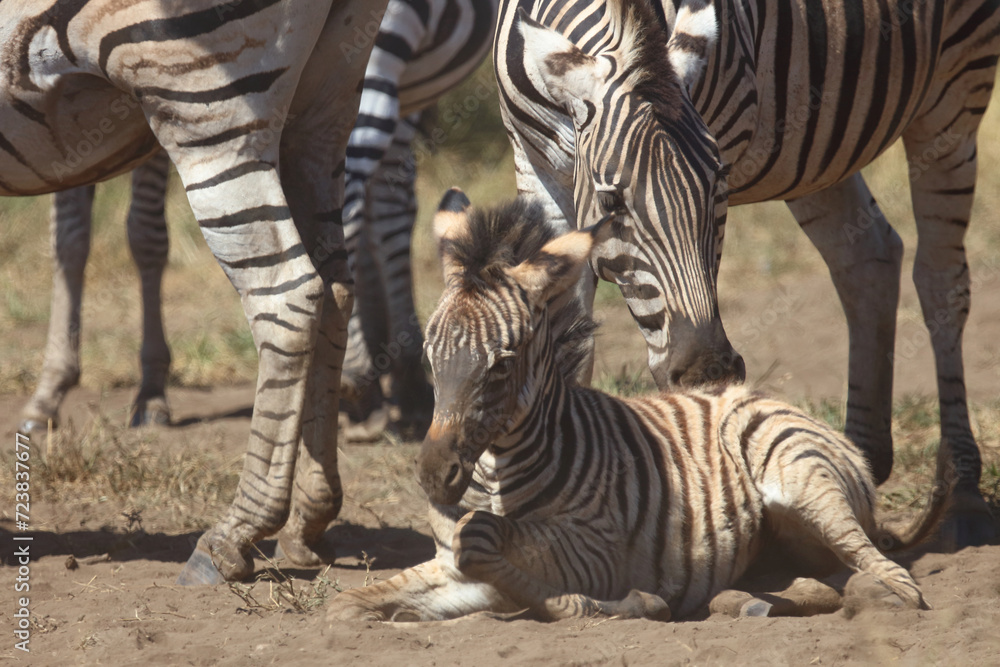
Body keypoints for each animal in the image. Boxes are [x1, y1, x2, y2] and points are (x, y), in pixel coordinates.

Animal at [1, 0, 388, 585]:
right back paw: (308, 521)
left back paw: (232, 537)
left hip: (201, 98)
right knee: (335, 291)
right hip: (324, 103)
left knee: (287, 295)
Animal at [327, 191, 943, 622]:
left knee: (893, 581)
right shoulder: (446, 564)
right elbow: (352, 605)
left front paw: (631, 604)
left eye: (501, 364)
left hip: (799, 472)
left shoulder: (598, 551)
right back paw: (748, 601)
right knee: (814, 581)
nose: (434, 476)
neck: (496, 472)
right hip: (785, 538)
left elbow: (487, 544)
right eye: (430, 358)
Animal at [494, 0, 1000, 547]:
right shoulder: (534, 164)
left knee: (941, 281)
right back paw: (858, 456)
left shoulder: (725, 127)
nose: (706, 375)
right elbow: (564, 332)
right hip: (818, 147)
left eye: (720, 185)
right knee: (868, 256)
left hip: (957, 88)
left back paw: (963, 497)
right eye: (612, 203)